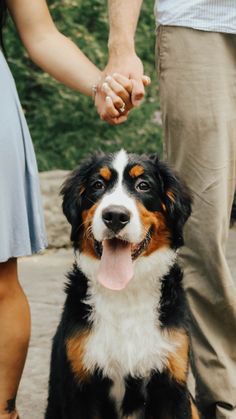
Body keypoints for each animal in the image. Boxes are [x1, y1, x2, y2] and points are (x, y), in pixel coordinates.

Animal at [44, 151, 199, 419]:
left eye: (143, 185)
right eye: (97, 185)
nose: (115, 215)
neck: (126, 293)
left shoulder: (171, 382)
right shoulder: (81, 388)